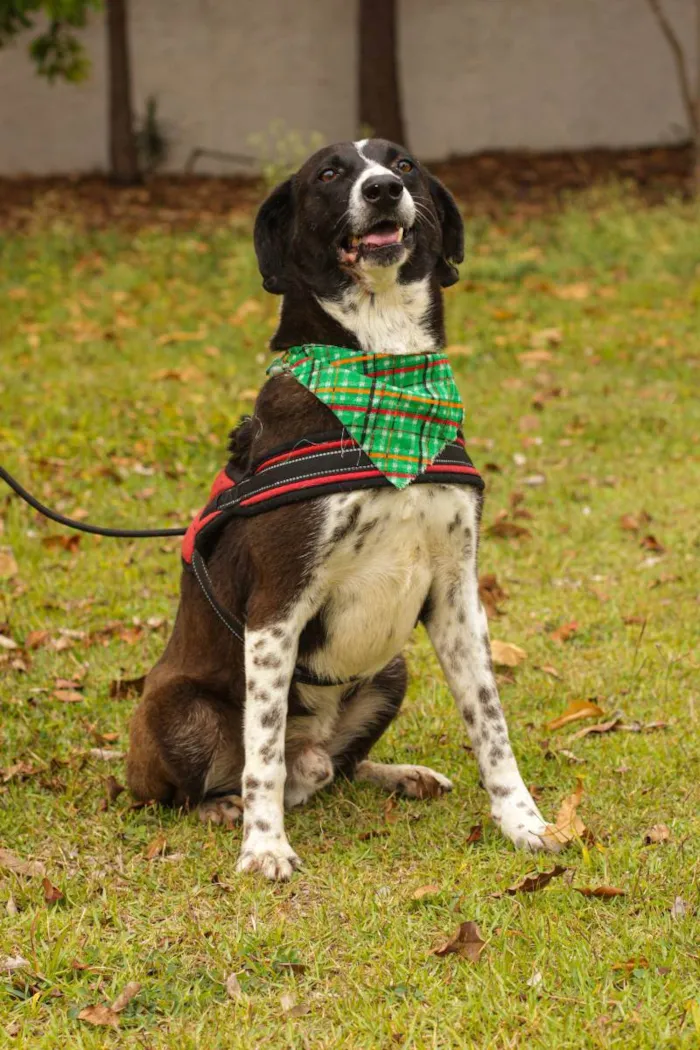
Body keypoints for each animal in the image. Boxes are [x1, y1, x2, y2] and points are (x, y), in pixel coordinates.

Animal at [127, 137, 558, 877]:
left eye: (404, 164)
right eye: (329, 173)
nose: (383, 189)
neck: (386, 364)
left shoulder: (457, 595)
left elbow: (490, 724)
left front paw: (521, 821)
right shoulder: (278, 606)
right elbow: (262, 752)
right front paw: (264, 848)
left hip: (391, 669)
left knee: (338, 767)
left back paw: (399, 774)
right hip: (175, 708)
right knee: (211, 782)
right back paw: (221, 807)